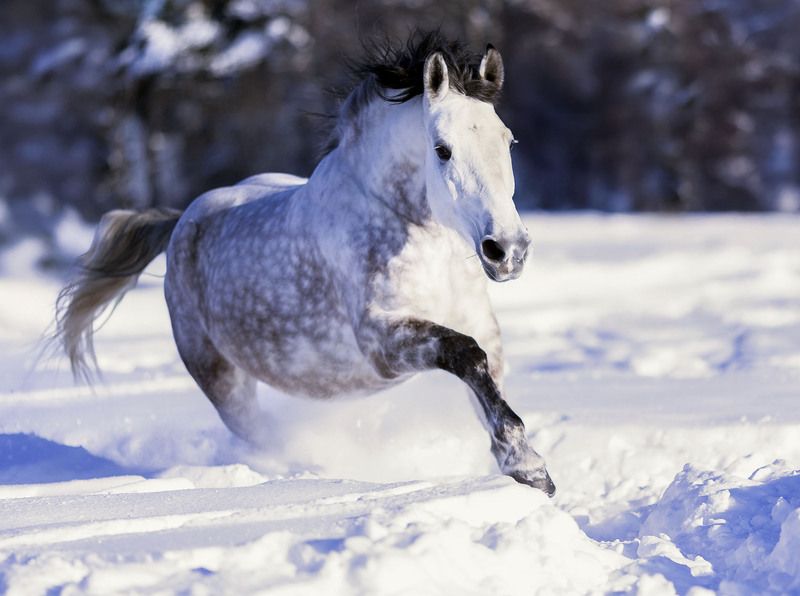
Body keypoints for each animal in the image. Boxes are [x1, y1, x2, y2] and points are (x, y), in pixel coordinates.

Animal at [55, 32, 555, 496]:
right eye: (442, 149)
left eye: (508, 141)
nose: (507, 249)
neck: (423, 240)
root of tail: (182, 221)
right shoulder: (381, 342)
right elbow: (466, 354)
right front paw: (529, 467)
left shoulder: (481, 326)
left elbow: (483, 370)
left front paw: (525, 465)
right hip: (223, 381)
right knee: (261, 435)